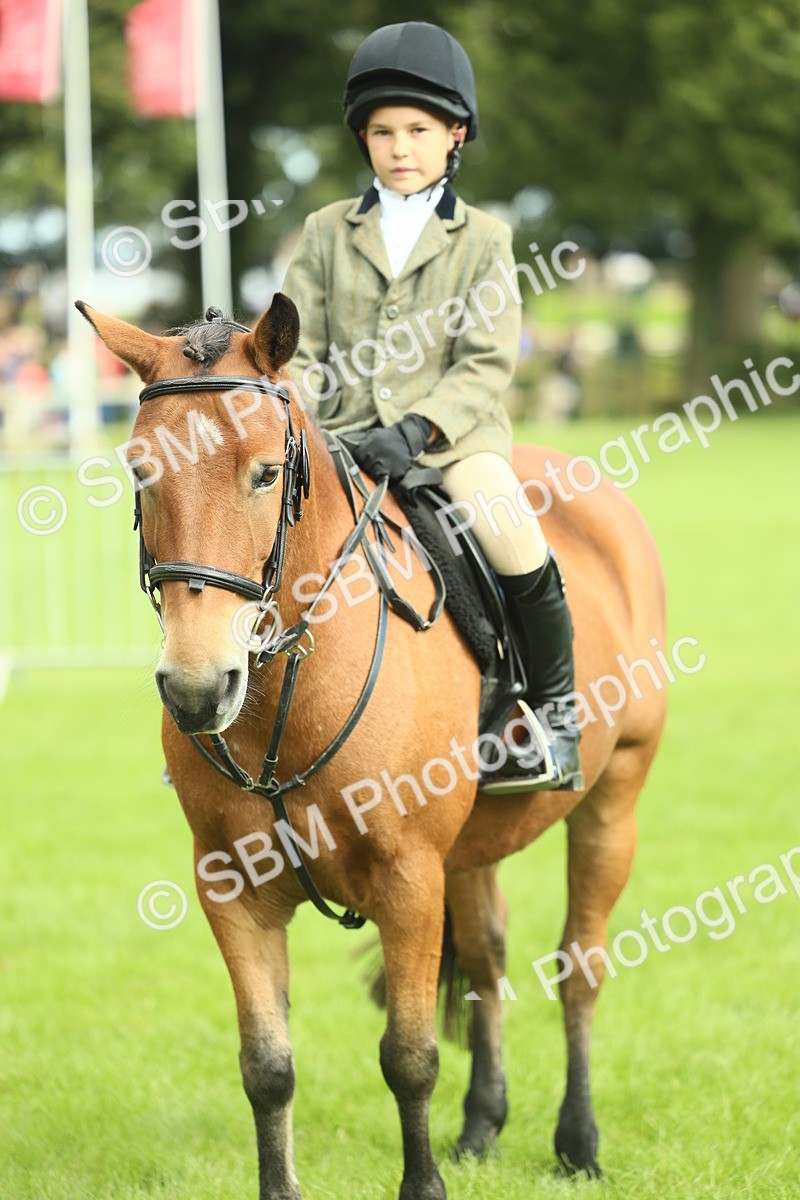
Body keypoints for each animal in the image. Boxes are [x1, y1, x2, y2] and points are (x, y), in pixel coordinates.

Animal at [77, 293, 666, 1200]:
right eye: (141, 471)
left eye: (265, 473)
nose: (197, 689)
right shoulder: (230, 889)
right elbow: (267, 1067)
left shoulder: (408, 879)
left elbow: (410, 1057)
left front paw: (425, 1183)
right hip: (472, 850)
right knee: (489, 961)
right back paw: (482, 1126)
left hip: (614, 799)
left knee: (580, 966)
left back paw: (578, 1142)